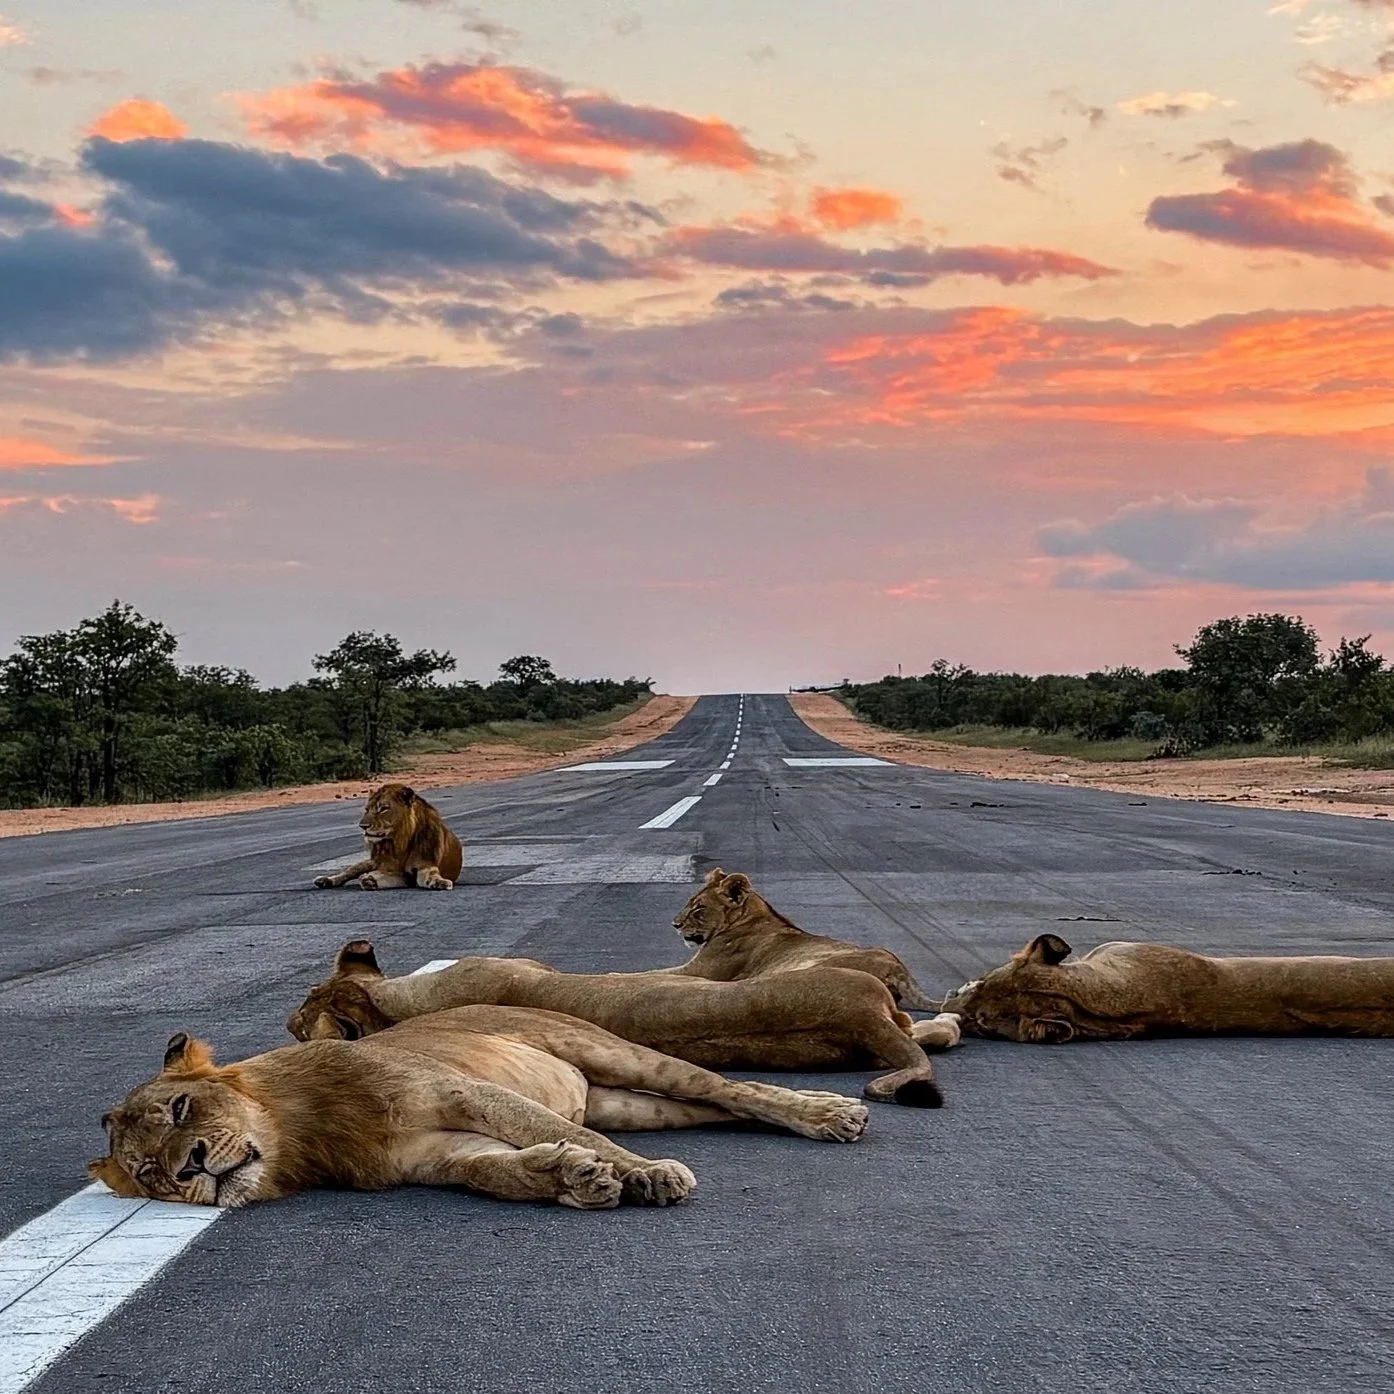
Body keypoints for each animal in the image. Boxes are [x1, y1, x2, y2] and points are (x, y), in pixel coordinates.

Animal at [89, 1007, 871, 1211]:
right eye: (150, 1176)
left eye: (182, 1108)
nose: (189, 1168)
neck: (301, 1134)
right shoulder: (427, 1157)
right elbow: (493, 1171)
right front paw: (571, 1178)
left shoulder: (461, 1092)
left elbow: (539, 1127)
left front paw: (646, 1176)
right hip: (629, 1103)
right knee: (715, 1109)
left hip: (608, 1051)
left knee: (726, 1087)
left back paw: (832, 1114)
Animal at [312, 783, 462, 891]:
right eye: (367, 810)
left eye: (383, 808)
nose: (363, 826)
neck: (399, 841)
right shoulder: (395, 871)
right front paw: (369, 880)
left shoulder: (423, 866)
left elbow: (431, 875)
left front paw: (440, 882)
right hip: (370, 862)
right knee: (348, 872)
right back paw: (325, 880)